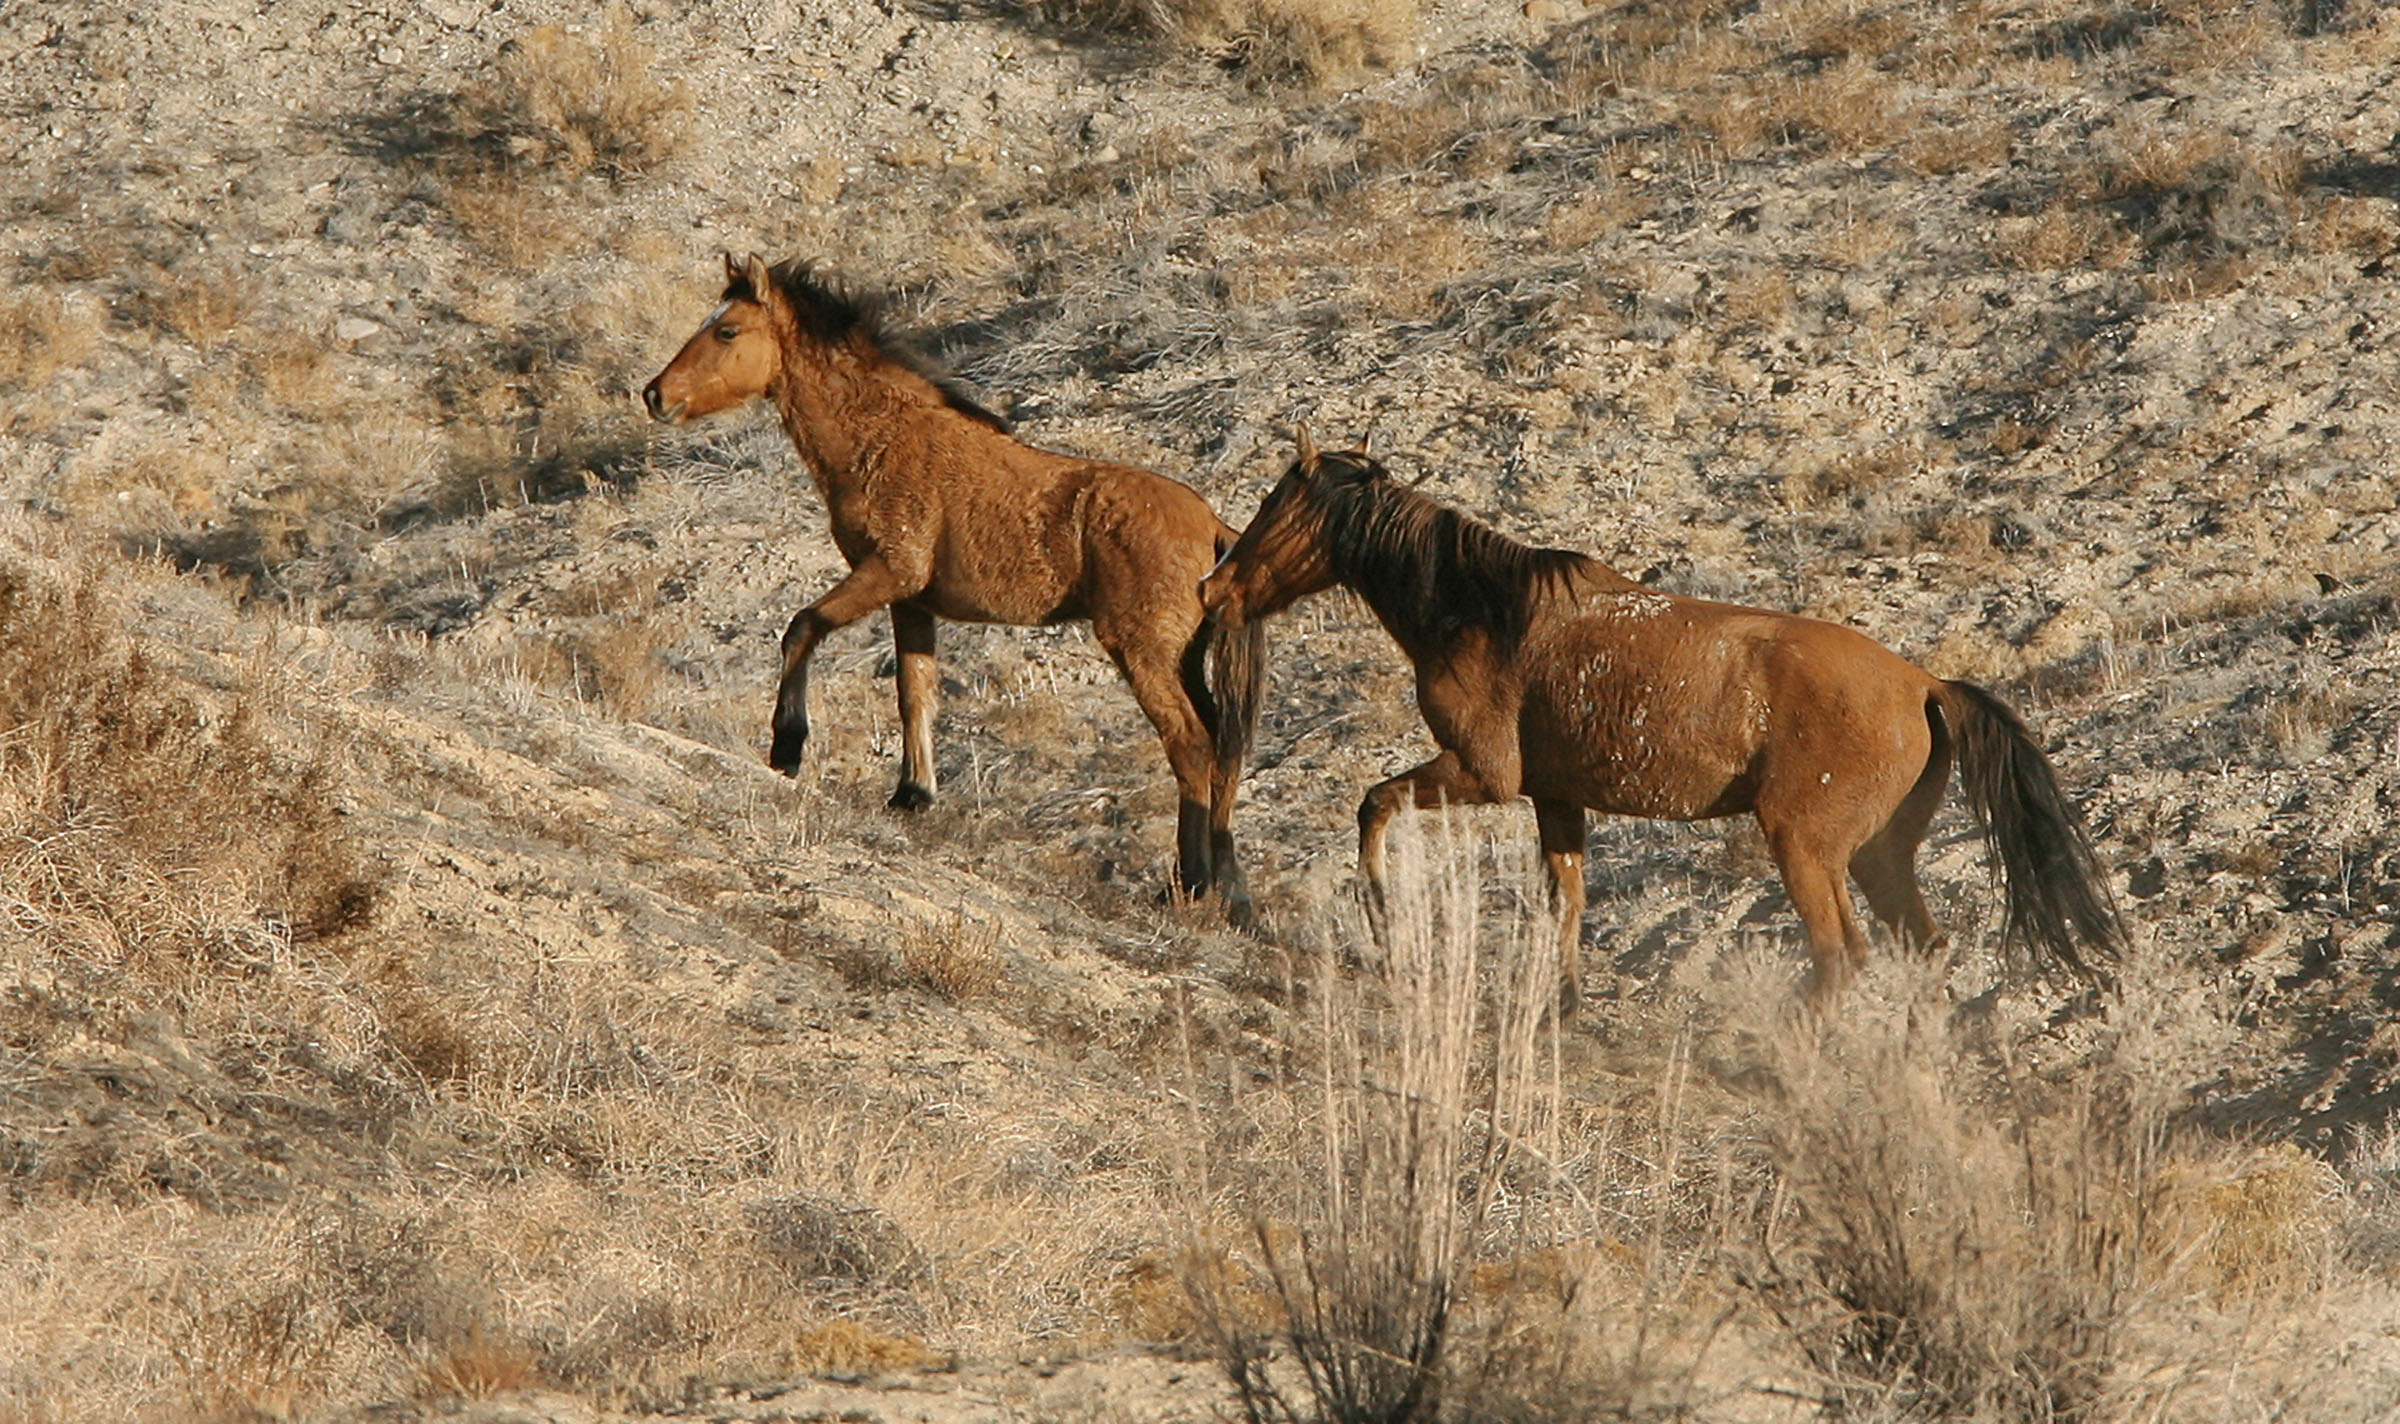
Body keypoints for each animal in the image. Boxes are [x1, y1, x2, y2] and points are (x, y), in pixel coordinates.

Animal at [643, 253, 1265, 922]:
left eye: (726, 330)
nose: (656, 395)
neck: (884, 437)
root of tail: (1215, 529)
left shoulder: (890, 571)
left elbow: (802, 627)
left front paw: (788, 747)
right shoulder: (912, 602)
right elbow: (915, 693)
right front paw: (913, 793)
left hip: (1143, 650)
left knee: (1192, 745)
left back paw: (1189, 884)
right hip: (1185, 657)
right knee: (1224, 749)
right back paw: (1231, 890)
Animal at [1198, 434, 2122, 1013]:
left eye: (1278, 505)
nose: (1214, 588)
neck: (1487, 613)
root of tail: (1926, 686)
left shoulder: (1479, 774)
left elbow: (1374, 804)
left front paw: (1383, 915)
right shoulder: (1555, 799)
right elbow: (1564, 900)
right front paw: (1563, 1002)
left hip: (1809, 849)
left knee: (1840, 958)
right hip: (1878, 855)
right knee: (1919, 951)